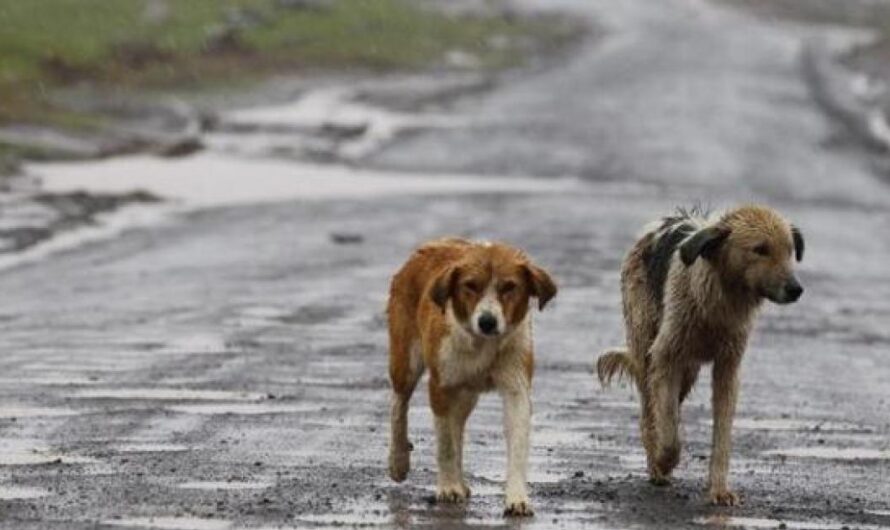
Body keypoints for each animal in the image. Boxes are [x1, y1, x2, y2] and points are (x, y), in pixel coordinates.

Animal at [388, 237, 556, 512]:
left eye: (509, 287)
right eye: (470, 286)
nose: (487, 321)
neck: (482, 345)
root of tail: (431, 244)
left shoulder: (516, 388)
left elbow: (517, 444)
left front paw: (517, 498)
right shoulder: (441, 387)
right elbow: (445, 444)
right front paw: (447, 487)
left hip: (467, 394)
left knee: (458, 426)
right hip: (407, 363)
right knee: (398, 405)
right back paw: (398, 460)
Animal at [596, 203, 804, 504]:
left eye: (789, 250)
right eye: (760, 249)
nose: (796, 289)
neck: (719, 304)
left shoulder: (728, 367)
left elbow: (722, 435)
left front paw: (719, 490)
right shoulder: (665, 357)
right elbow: (669, 431)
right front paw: (664, 460)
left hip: (689, 371)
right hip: (647, 349)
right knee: (649, 413)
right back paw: (655, 466)